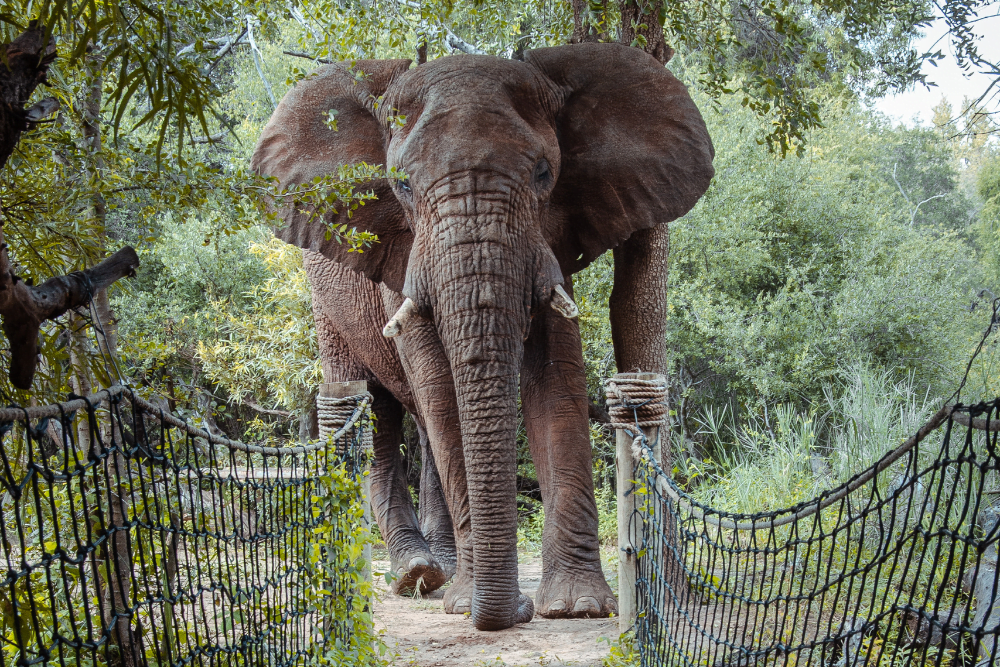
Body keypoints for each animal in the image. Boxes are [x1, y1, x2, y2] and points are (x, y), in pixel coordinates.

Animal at [254, 43, 716, 632]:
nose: (517, 610)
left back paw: (442, 573)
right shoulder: (400, 253)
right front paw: (468, 605)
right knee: (373, 411)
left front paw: (576, 606)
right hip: (326, 298)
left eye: (544, 173)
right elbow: (440, 389)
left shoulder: (548, 237)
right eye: (401, 185)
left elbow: (554, 378)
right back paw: (419, 575)